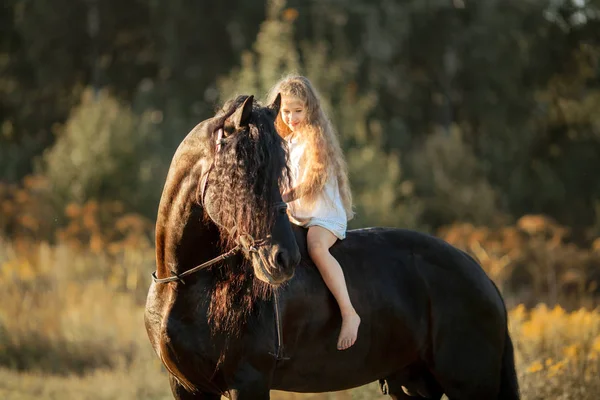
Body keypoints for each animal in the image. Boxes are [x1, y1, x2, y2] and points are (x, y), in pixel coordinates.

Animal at [145, 94, 520, 400]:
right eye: (243, 171)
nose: (283, 259)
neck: (184, 285)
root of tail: (482, 278)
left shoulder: (248, 381)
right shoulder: (187, 387)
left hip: (469, 387)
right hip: (412, 386)